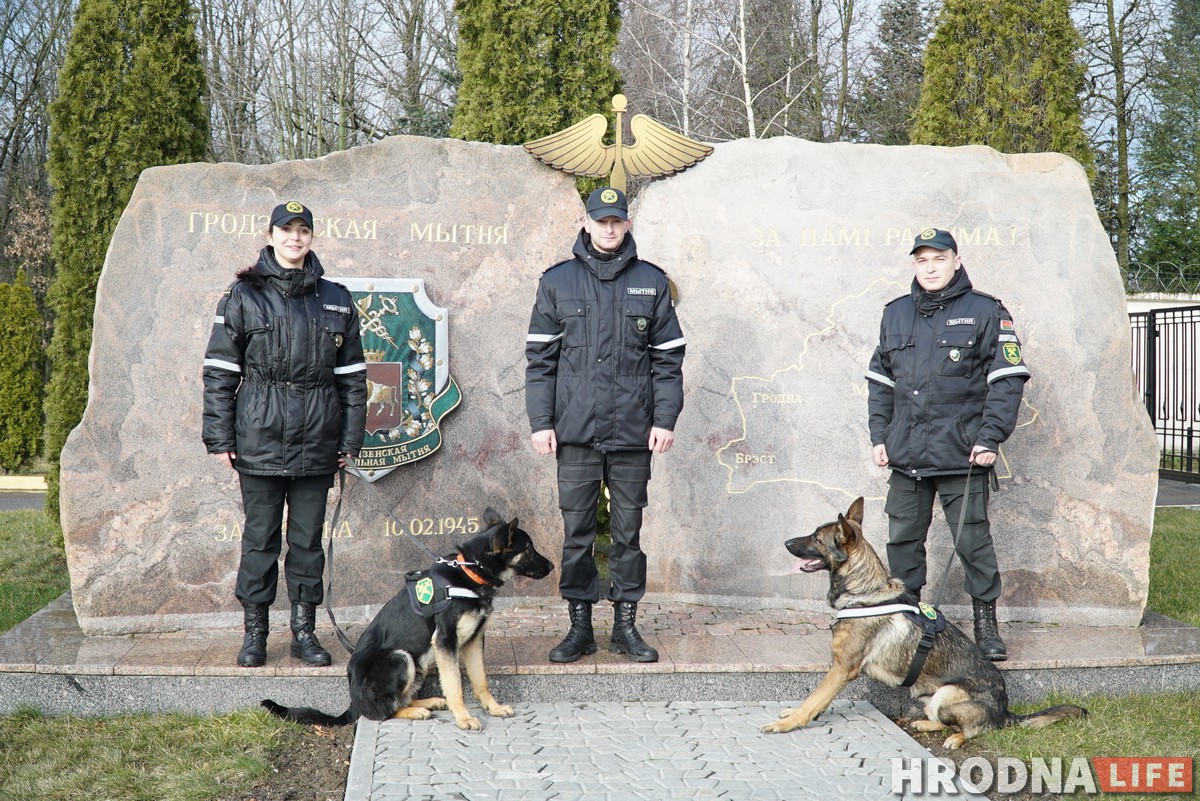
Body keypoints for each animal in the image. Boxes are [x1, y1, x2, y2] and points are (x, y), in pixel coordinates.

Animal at [262, 510, 552, 729]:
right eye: (529, 549)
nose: (551, 567)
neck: (470, 573)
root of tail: (353, 702)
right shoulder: (446, 642)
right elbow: (456, 685)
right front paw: (463, 718)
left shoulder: (473, 642)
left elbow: (480, 681)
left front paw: (493, 708)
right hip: (401, 657)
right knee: (383, 710)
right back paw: (416, 712)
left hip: (419, 662)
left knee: (400, 700)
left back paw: (429, 703)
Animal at [758, 496, 1089, 748]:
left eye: (816, 538)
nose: (786, 542)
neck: (864, 591)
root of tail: (1005, 711)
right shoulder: (839, 668)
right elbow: (818, 700)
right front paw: (797, 714)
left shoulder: (842, 668)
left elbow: (815, 698)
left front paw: (789, 723)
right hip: (928, 697)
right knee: (940, 721)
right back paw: (923, 725)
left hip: (948, 694)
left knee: (976, 730)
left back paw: (956, 739)